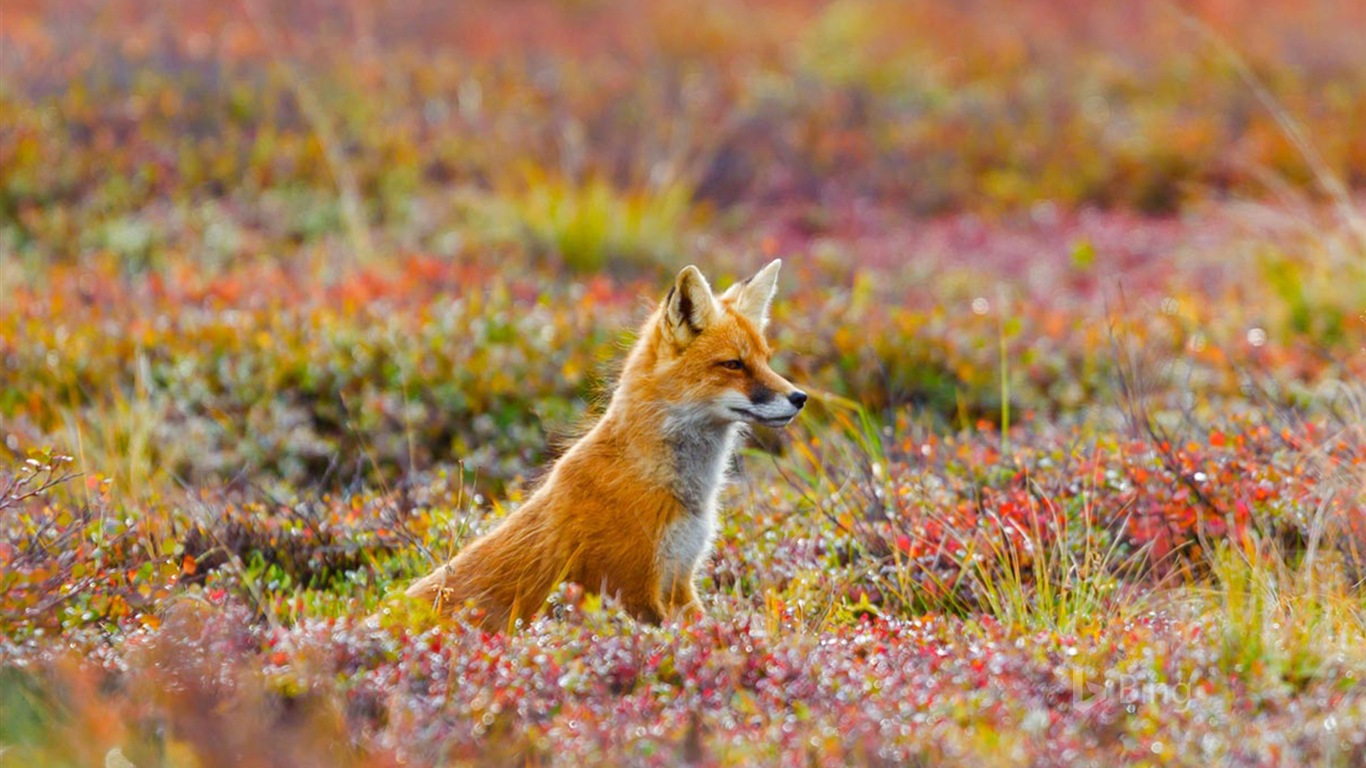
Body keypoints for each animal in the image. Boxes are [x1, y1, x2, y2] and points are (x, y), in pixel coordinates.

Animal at [404, 258, 808, 628]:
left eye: (765, 360)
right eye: (733, 364)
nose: (799, 397)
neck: (670, 488)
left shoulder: (680, 579)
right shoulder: (630, 589)